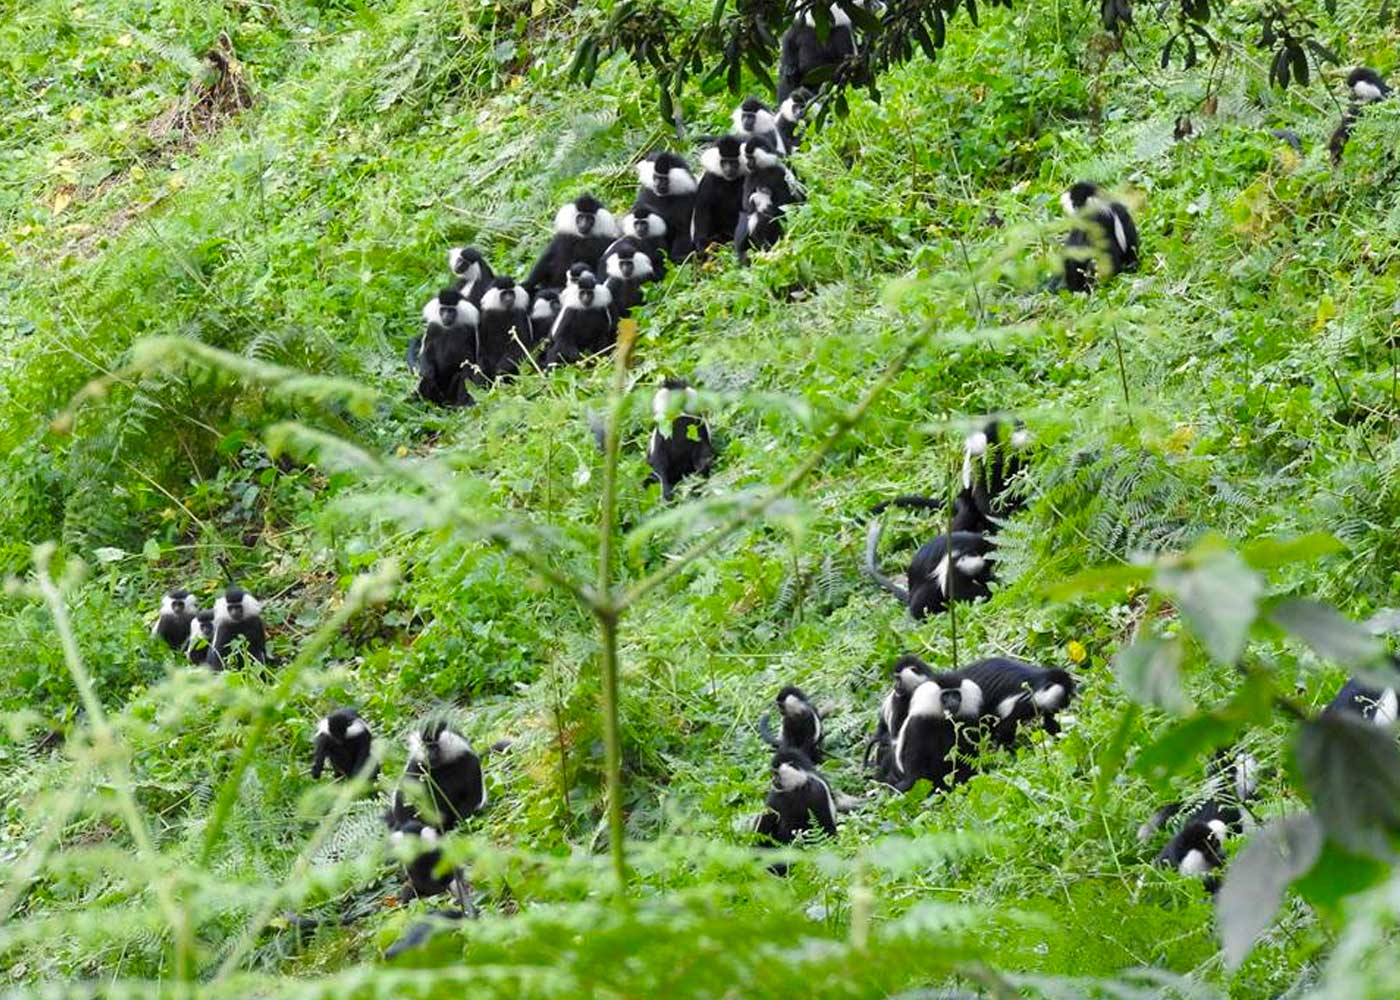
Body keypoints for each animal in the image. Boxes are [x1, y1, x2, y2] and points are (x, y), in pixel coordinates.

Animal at [862, 518, 996, 619]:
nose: (989, 575)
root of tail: (910, 596)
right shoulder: (955, 563)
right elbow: (954, 588)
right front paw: (987, 595)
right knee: (930, 589)